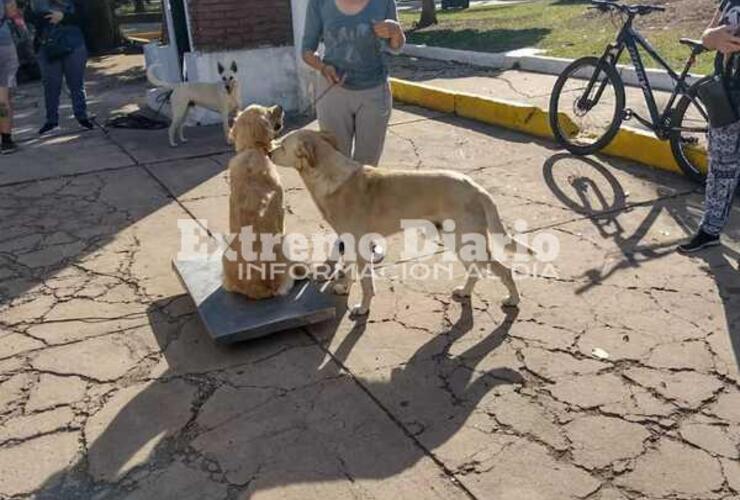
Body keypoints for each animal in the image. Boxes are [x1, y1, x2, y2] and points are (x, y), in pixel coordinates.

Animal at [223, 105, 294, 298]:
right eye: (268, 112)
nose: (280, 106)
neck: (252, 149)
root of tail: (257, 289)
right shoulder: (281, 209)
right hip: (284, 248)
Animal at [272, 127, 532, 318]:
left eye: (282, 145)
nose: (269, 151)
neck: (328, 175)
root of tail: (477, 188)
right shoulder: (349, 241)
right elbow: (349, 270)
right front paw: (344, 287)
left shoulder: (359, 244)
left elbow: (366, 284)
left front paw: (363, 308)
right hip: (457, 240)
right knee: (477, 269)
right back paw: (465, 292)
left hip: (466, 240)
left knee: (504, 269)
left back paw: (513, 299)